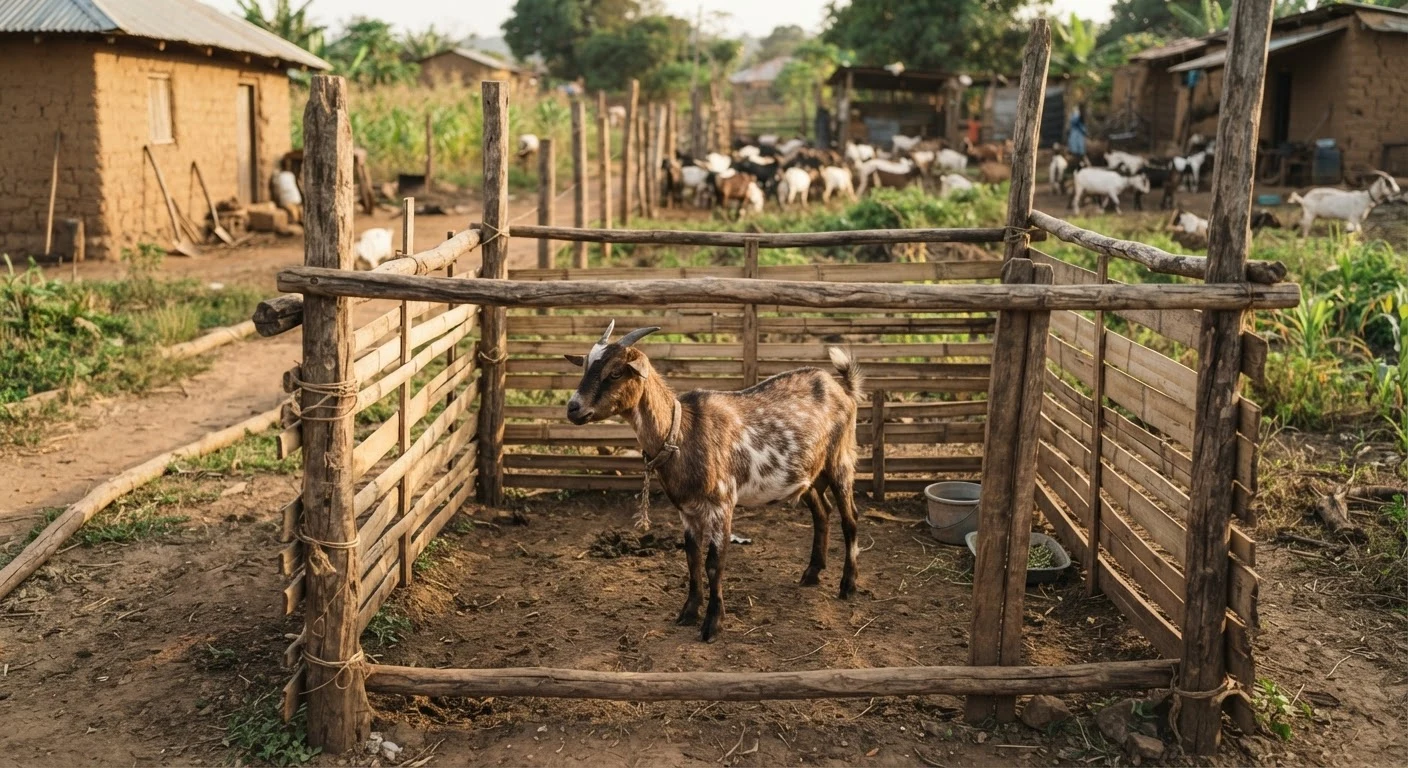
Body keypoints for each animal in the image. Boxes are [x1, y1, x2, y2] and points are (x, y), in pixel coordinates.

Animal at [564, 322, 864, 642]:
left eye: (616, 372)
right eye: (585, 366)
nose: (572, 408)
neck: (681, 431)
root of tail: (842, 387)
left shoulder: (722, 504)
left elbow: (713, 563)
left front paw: (712, 624)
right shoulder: (687, 510)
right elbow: (692, 559)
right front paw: (688, 613)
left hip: (841, 460)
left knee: (850, 518)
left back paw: (848, 586)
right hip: (808, 474)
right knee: (822, 513)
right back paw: (811, 573)